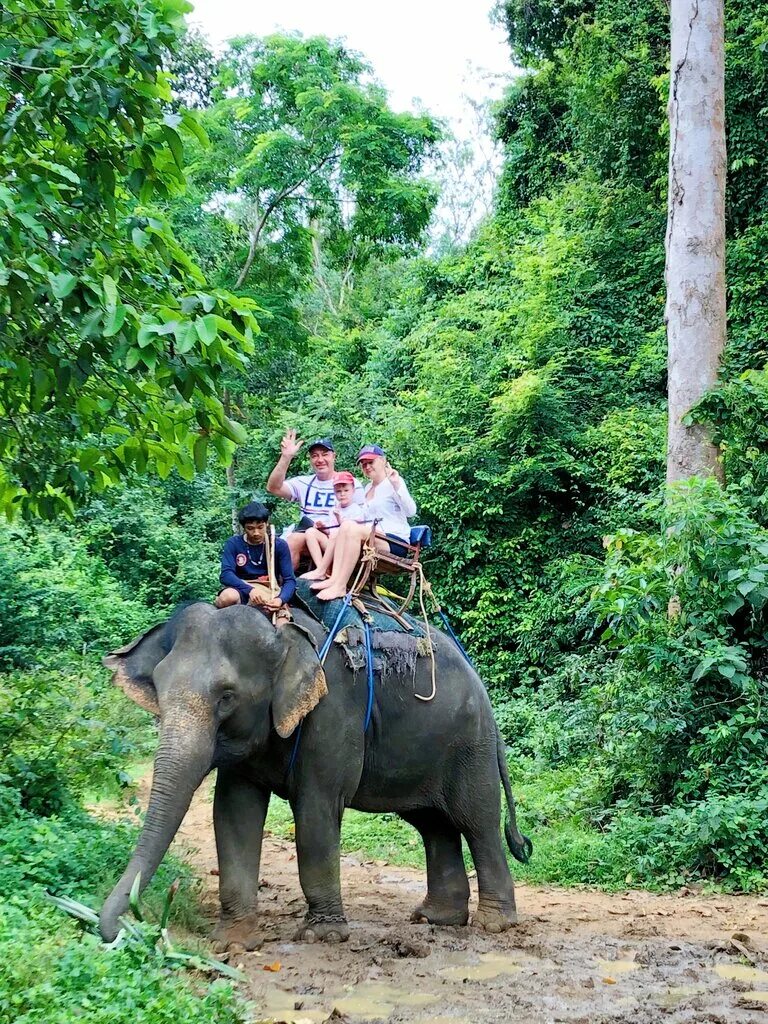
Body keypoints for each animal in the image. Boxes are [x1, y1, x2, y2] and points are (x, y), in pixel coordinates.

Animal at [99, 602, 532, 946]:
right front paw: (232, 942)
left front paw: (321, 935)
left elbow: (316, 812)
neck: (283, 634)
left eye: (227, 697)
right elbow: (233, 813)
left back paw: (494, 924)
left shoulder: (332, 713)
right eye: (158, 688)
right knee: (432, 823)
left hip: (470, 745)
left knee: (476, 822)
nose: (128, 928)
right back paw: (436, 919)